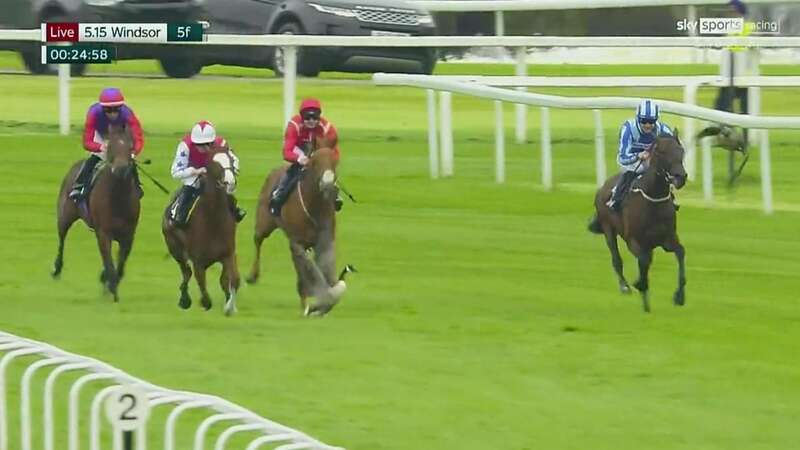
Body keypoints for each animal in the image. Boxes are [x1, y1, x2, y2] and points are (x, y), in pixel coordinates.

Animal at [51, 122, 141, 302]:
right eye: (111, 146)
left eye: (130, 147)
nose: (121, 169)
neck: (119, 198)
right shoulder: (104, 233)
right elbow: (110, 264)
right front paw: (112, 290)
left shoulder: (128, 235)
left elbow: (119, 267)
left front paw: (107, 283)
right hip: (65, 216)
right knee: (62, 238)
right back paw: (57, 268)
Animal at [161, 144, 239, 316]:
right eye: (214, 164)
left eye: (231, 159)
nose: (230, 182)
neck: (213, 220)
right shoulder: (198, 261)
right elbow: (203, 289)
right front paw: (205, 303)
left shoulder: (228, 253)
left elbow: (232, 280)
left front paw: (230, 306)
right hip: (175, 249)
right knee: (186, 272)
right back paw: (184, 300)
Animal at [247, 137, 346, 316]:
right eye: (315, 162)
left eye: (334, 161)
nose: (327, 185)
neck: (313, 206)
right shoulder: (296, 243)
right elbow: (310, 269)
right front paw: (318, 302)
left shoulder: (325, 239)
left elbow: (326, 268)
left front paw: (323, 302)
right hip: (264, 224)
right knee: (257, 241)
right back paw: (253, 275)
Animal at [588, 132, 688, 312]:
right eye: (661, 152)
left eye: (681, 150)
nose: (680, 177)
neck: (653, 200)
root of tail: (603, 187)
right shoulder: (634, 241)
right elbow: (643, 261)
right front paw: (640, 286)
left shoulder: (668, 239)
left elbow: (680, 253)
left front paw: (679, 296)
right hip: (608, 230)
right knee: (617, 260)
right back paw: (625, 287)